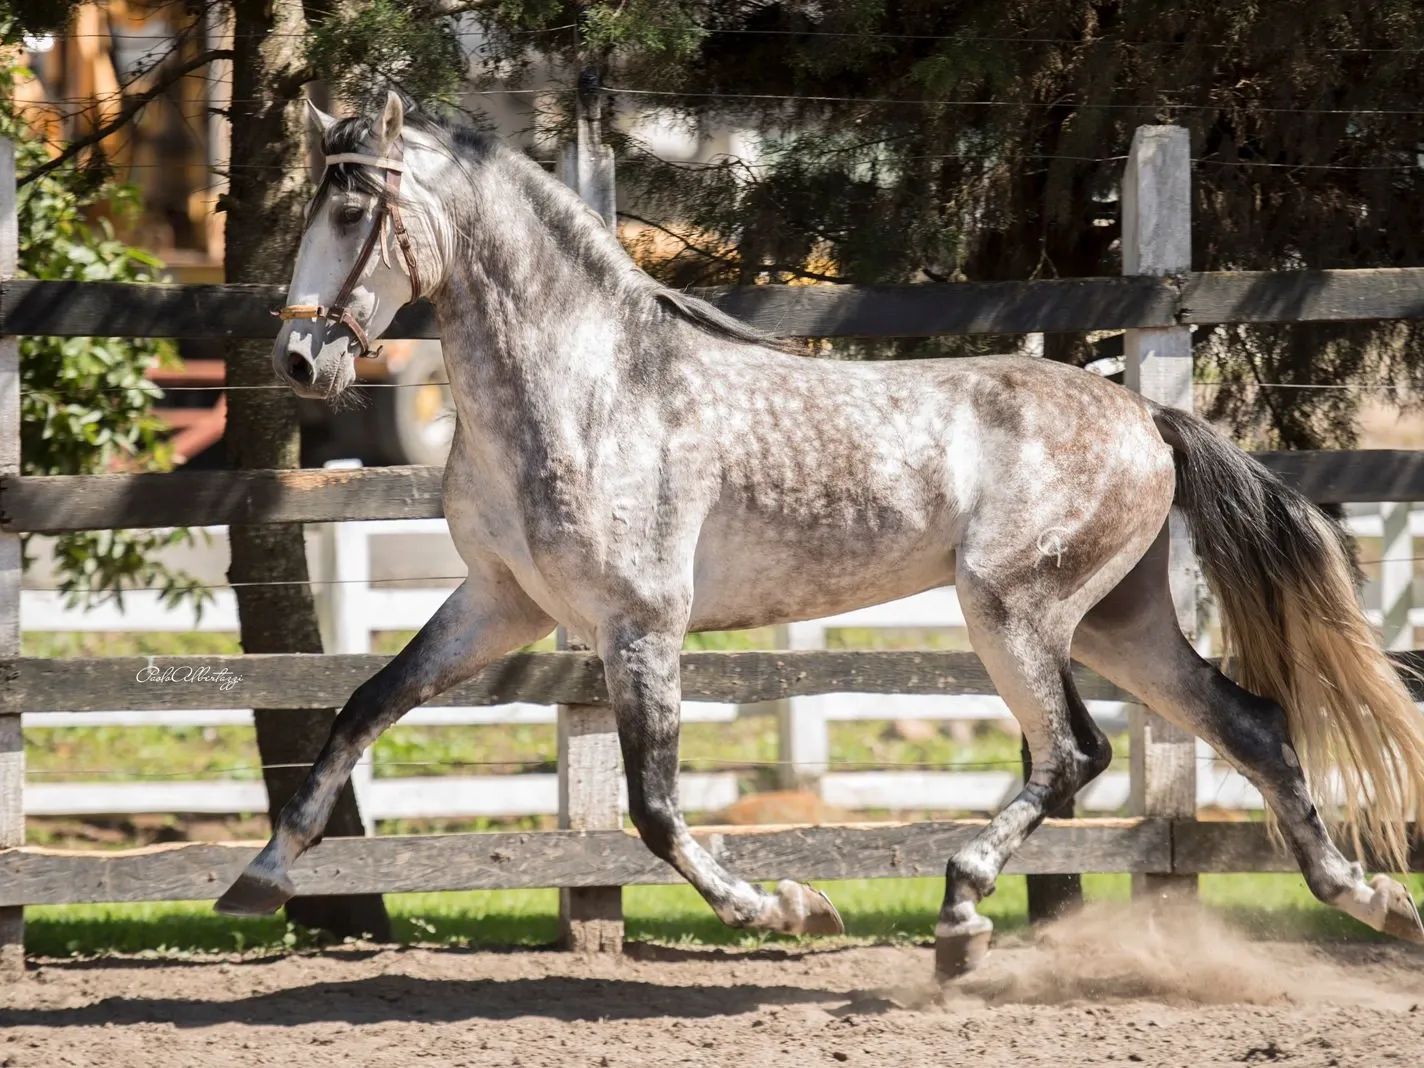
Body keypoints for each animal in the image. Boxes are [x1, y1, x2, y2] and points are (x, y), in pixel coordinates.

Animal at [216, 91, 1424, 976]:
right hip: (1116, 624)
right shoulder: (500, 603)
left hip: (1015, 610)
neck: (586, 385)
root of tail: (1147, 416)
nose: (299, 362)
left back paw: (960, 913)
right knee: (1251, 724)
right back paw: (1371, 901)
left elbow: (654, 809)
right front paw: (260, 877)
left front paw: (788, 908)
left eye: (348, 214)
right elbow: (364, 704)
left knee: (1075, 751)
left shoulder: (639, 625)